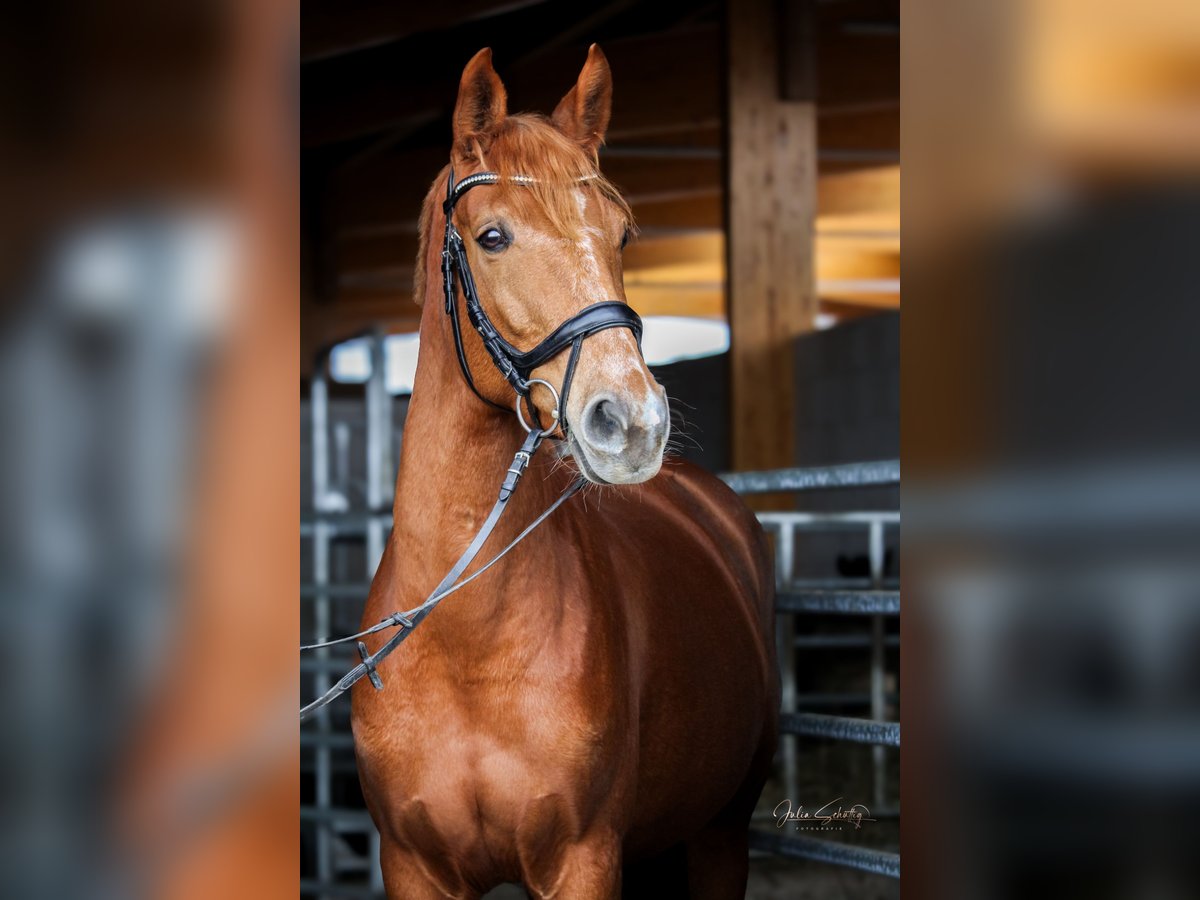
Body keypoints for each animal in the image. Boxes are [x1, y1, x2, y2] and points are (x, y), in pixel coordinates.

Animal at [350, 45, 777, 897]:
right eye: (492, 236)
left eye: (623, 234)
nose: (633, 423)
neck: (468, 648)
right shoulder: (410, 864)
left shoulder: (584, 857)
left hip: (722, 834)